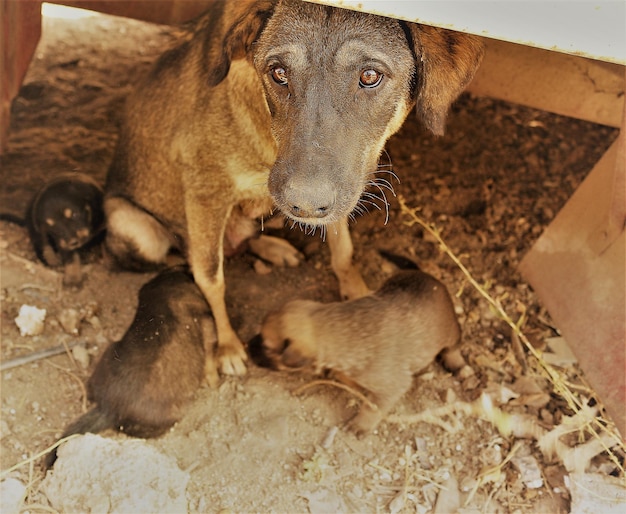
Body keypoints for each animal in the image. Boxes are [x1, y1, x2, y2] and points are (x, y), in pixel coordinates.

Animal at [103, 0, 482, 376]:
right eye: (278, 72)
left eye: (370, 76)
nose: (305, 206)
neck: (264, 132)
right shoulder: (205, 192)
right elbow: (210, 277)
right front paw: (227, 344)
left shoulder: (339, 191)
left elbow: (343, 250)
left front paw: (359, 295)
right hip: (134, 225)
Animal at [258, 270, 458, 434]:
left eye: (266, 347)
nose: (251, 346)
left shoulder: (392, 386)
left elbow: (371, 408)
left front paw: (361, 425)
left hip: (451, 333)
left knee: (453, 347)